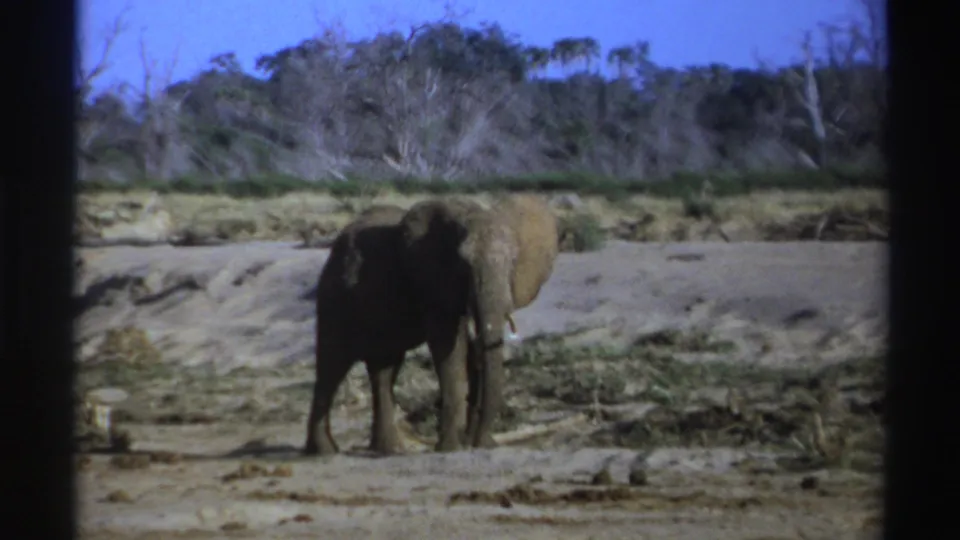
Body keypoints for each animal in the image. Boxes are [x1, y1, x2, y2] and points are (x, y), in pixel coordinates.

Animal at [398, 193, 559, 451]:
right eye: (464, 264)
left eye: (513, 260)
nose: (481, 443)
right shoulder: (435, 284)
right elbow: (448, 347)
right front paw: (450, 447)